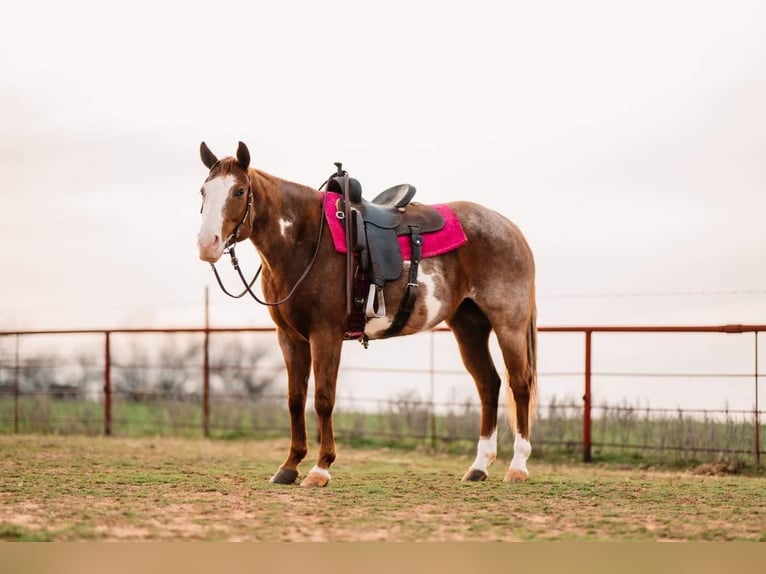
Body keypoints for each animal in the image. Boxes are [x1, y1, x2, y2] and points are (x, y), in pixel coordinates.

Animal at [195, 142, 536, 488]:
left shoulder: (326, 333)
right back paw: (478, 467)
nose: (207, 244)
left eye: (239, 191)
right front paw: (289, 467)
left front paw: (320, 468)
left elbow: (323, 399)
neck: (304, 239)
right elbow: (294, 399)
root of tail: (510, 229)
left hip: (508, 325)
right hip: (469, 326)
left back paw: (517, 467)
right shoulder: (289, 337)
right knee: (488, 384)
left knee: (520, 384)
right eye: (203, 191)